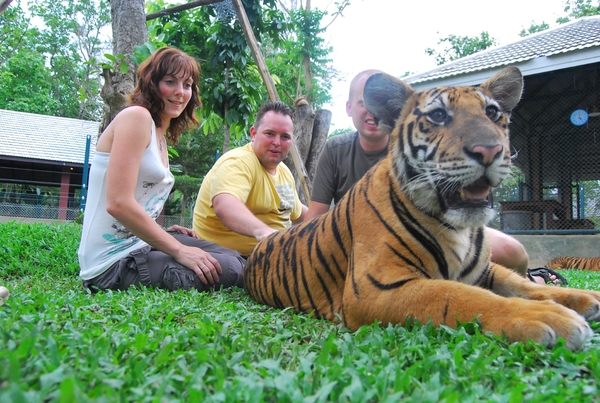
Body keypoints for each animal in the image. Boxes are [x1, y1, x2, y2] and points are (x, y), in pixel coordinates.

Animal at [243, 66, 600, 350]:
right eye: (438, 116)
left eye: (493, 113)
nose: (491, 150)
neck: (457, 227)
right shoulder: (375, 288)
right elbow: (459, 296)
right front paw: (548, 317)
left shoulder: (485, 270)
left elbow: (520, 284)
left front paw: (584, 297)